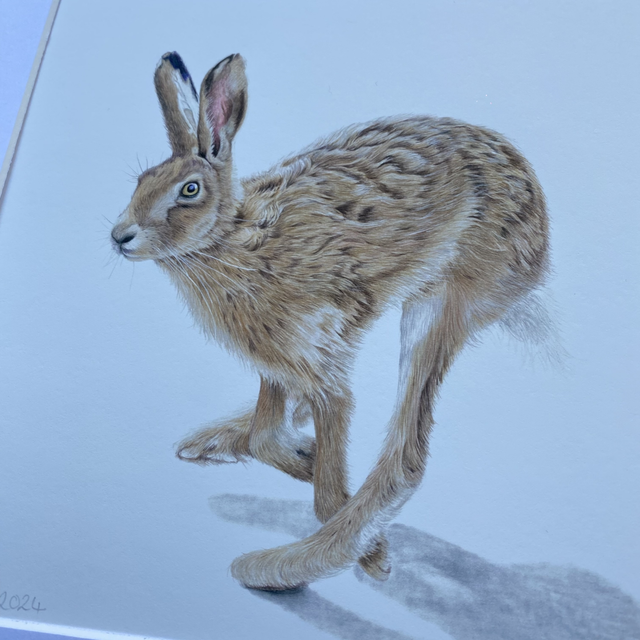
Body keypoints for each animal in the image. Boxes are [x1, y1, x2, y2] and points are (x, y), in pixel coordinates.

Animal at [111, 51, 549, 591]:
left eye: (188, 190)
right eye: (140, 181)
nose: (120, 236)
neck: (233, 239)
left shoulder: (321, 368)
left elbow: (317, 465)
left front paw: (344, 510)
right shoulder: (276, 364)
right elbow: (265, 434)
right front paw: (302, 455)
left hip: (441, 301)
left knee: (406, 459)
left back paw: (299, 562)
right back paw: (215, 443)